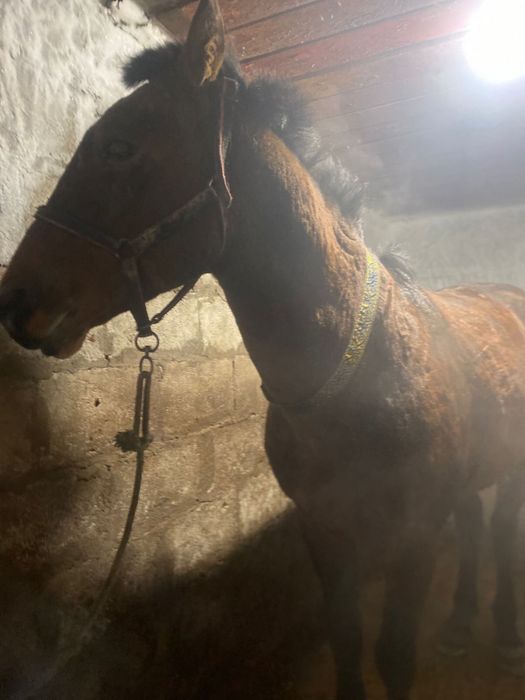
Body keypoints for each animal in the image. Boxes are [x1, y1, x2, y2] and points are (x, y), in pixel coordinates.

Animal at [1, 1, 524, 698]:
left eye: (119, 146)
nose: (15, 300)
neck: (361, 381)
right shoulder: (324, 527)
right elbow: (347, 640)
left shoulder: (413, 538)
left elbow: (394, 655)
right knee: (473, 525)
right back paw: (464, 622)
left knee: (501, 533)